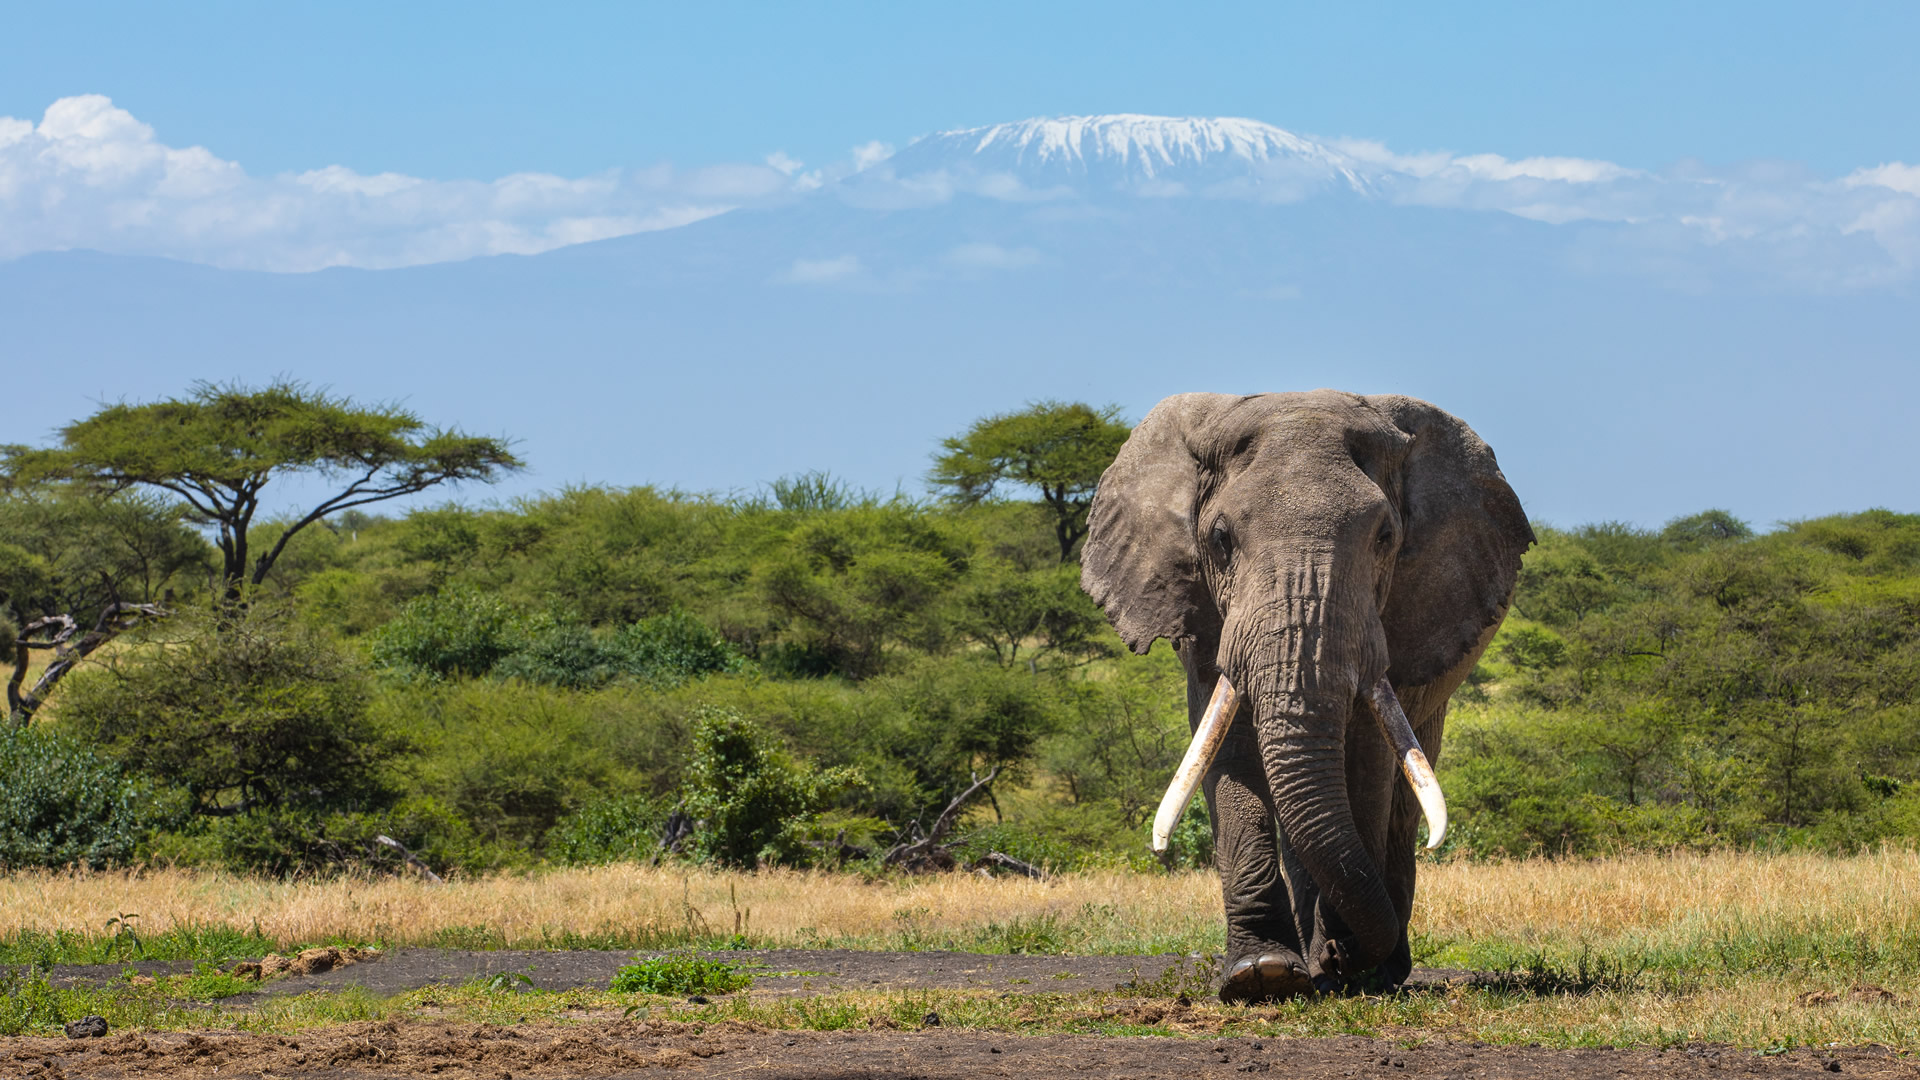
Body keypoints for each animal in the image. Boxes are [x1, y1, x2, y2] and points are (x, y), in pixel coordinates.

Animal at [1080, 389, 1531, 1001]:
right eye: (1220, 540)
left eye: (1385, 538)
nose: (1340, 956)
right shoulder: (1203, 616)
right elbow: (1225, 752)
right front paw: (1261, 973)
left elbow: (1364, 761)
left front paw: (1348, 967)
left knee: (1401, 800)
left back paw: (1379, 967)